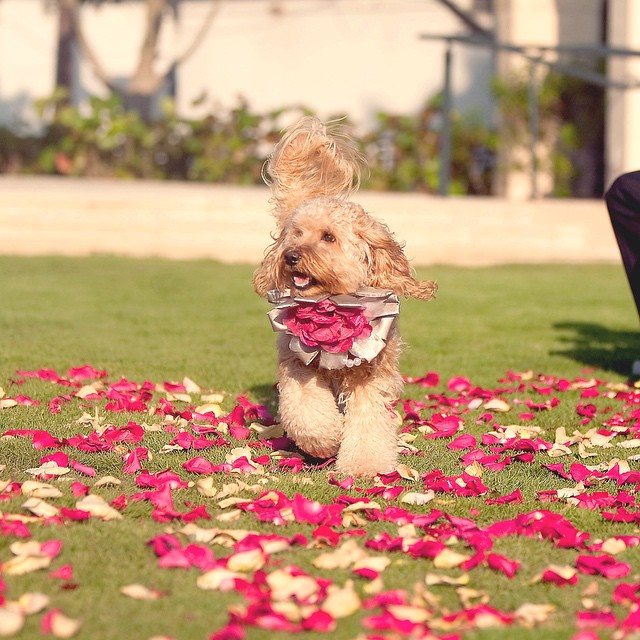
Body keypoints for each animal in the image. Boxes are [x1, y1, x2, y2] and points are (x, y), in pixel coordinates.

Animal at [252, 116, 438, 476]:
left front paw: (364, 465)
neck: (332, 304)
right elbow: (306, 408)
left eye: (328, 237)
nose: (290, 256)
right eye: (296, 233)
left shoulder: (370, 373)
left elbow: (369, 419)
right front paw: (325, 440)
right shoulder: (298, 361)